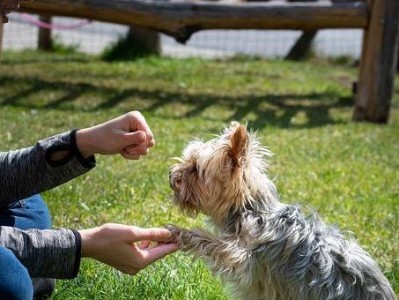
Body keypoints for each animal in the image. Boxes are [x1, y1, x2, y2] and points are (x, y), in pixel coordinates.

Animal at [169, 122, 396, 300]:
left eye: (195, 169)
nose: (171, 174)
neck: (252, 210)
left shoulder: (242, 255)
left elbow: (212, 243)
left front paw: (181, 233)